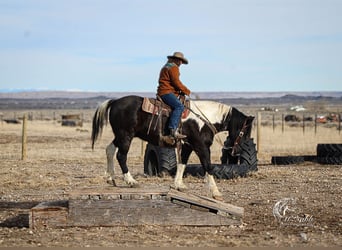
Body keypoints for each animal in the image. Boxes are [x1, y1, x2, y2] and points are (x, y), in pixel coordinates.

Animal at [91, 94, 254, 200]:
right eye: (244, 131)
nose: (238, 152)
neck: (204, 119)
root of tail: (115, 101)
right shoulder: (201, 146)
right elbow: (208, 166)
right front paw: (215, 192)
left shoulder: (187, 146)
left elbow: (182, 163)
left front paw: (178, 185)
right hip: (126, 136)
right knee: (121, 156)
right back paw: (130, 181)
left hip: (120, 136)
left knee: (109, 149)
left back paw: (110, 177)